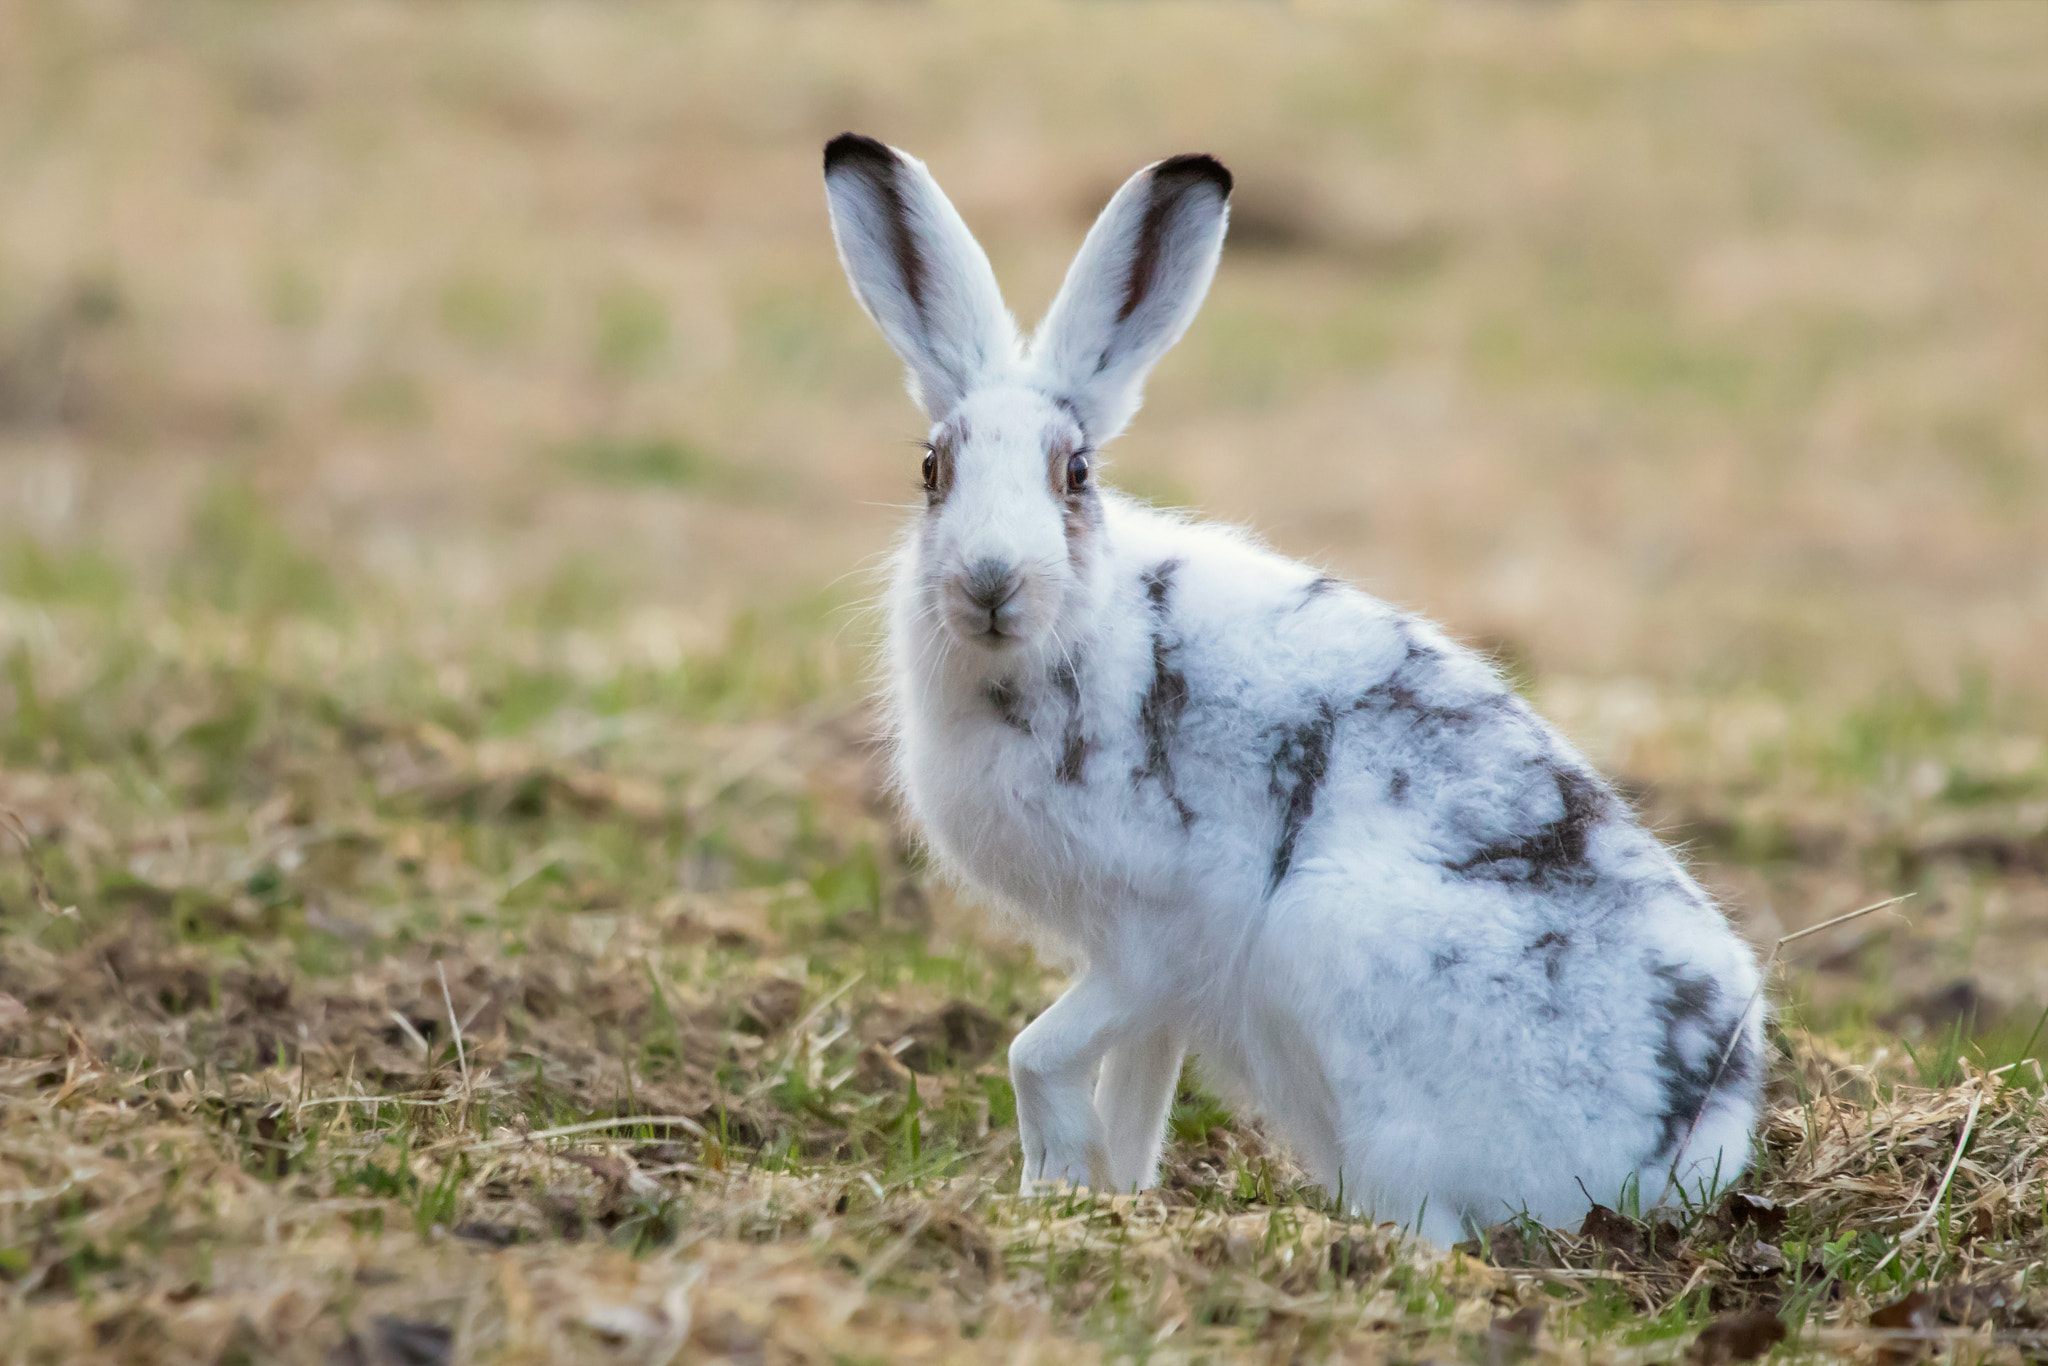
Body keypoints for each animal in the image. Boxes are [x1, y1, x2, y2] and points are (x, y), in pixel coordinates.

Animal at [821, 132, 1765, 1245]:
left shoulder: (1162, 932)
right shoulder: (1144, 981)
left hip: (1344, 967)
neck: (1073, 634)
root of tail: (1685, 1153)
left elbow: (1035, 1051)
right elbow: (1132, 1088)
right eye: (932, 470)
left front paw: (1053, 1183)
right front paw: (1110, 1193)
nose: (989, 583)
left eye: (1076, 475)